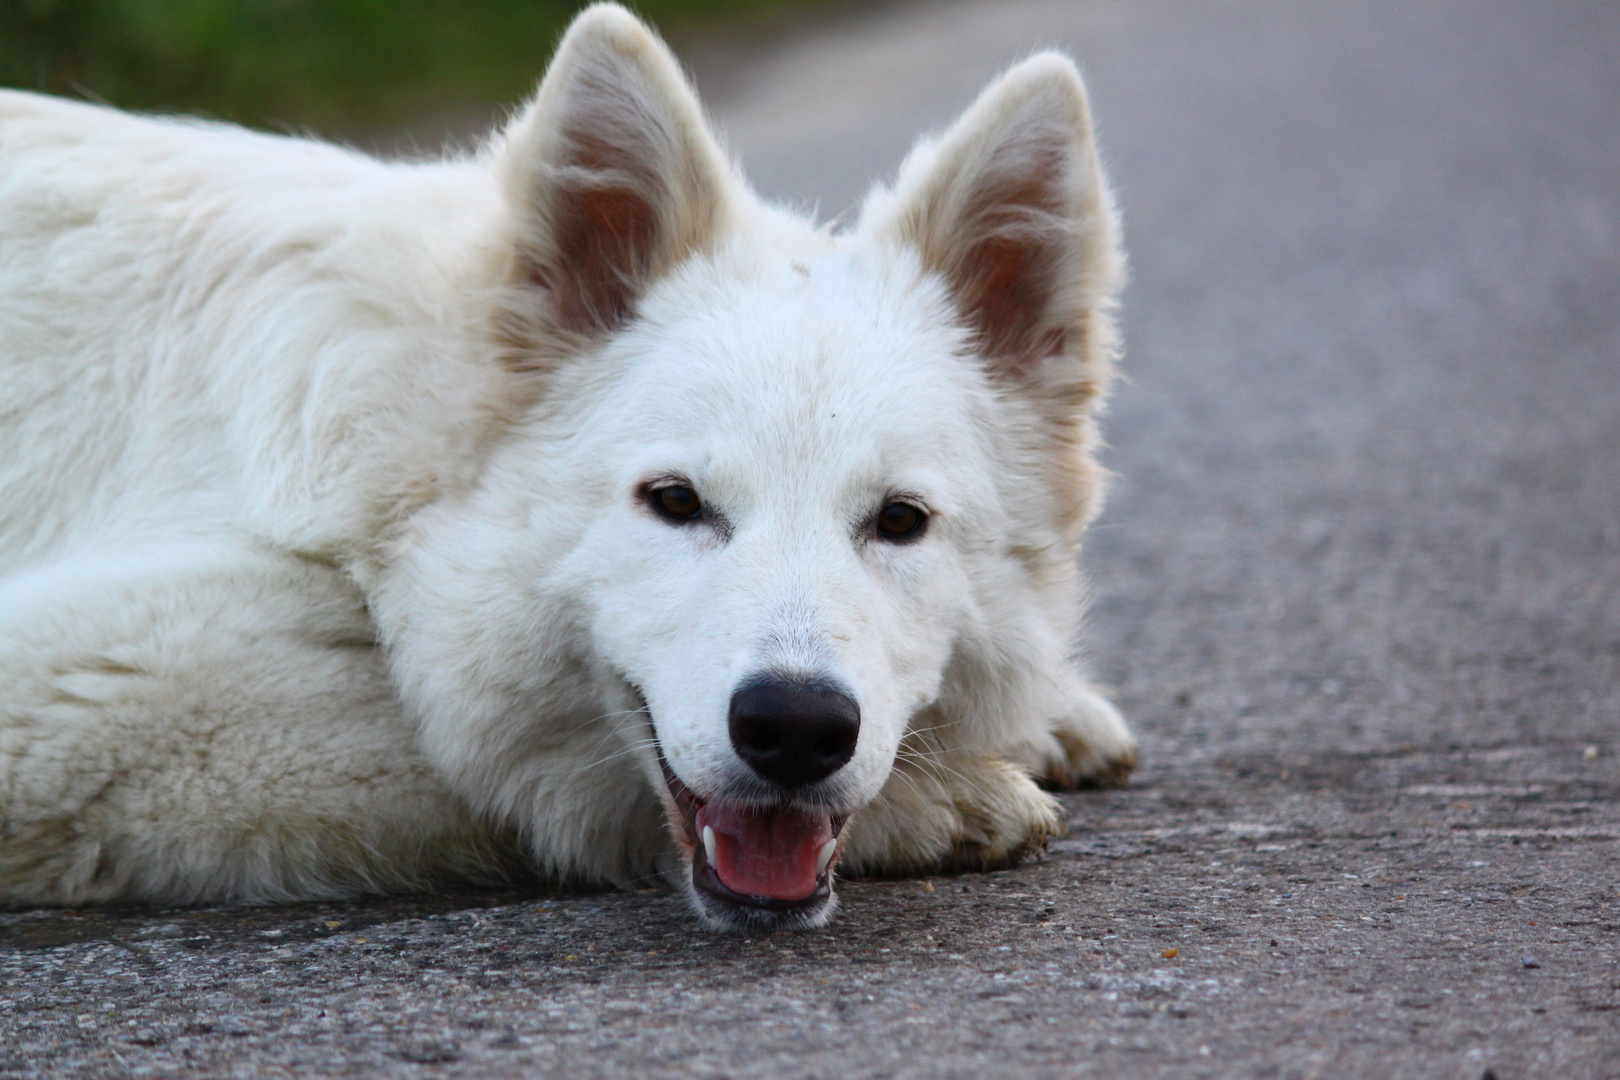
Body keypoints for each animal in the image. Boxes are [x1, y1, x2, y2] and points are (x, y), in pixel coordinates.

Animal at [0, 2, 1134, 932]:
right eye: (674, 503)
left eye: (899, 521)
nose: (798, 730)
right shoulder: (69, 677)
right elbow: (455, 740)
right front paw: (946, 793)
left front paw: (1054, 716)